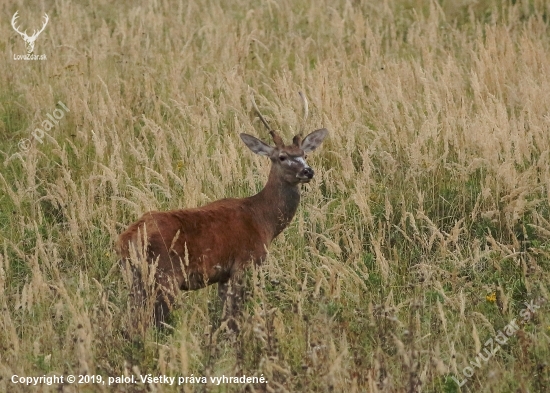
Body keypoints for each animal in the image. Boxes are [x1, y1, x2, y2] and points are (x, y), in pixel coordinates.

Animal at [117, 92, 330, 334]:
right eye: (282, 157)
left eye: (304, 154)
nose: (307, 171)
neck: (263, 219)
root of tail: (125, 239)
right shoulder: (245, 262)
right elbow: (234, 315)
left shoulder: (223, 275)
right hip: (163, 276)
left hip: (135, 277)